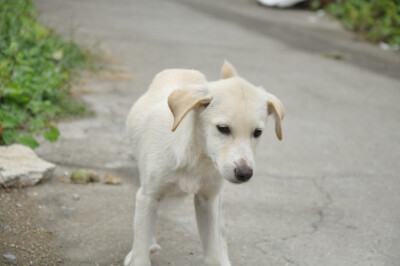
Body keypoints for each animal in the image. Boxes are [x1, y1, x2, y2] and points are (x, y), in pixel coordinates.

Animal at [125, 61, 284, 264]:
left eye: (257, 132)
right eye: (223, 128)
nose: (245, 173)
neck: (196, 157)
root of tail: (182, 70)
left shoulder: (208, 201)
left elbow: (214, 247)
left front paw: (219, 258)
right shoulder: (148, 195)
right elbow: (142, 237)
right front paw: (138, 254)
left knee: (221, 230)